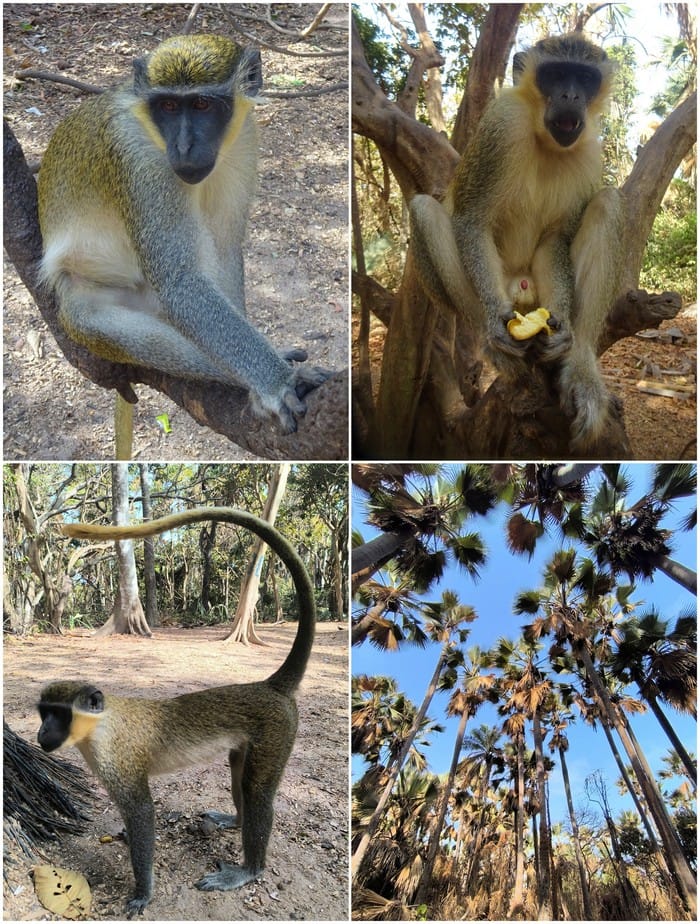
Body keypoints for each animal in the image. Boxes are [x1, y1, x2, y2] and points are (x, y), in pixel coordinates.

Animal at [37, 34, 329, 434]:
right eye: (170, 106)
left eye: (202, 105)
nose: (184, 147)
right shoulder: (139, 160)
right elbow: (181, 281)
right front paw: (276, 382)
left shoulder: (245, 139)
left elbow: (225, 248)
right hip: (91, 297)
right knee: (105, 326)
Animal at [37, 507, 315, 917]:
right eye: (44, 714)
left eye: (58, 715)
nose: (42, 733)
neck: (101, 725)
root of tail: (269, 686)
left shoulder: (117, 760)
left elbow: (141, 812)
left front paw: (143, 892)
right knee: (239, 774)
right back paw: (235, 820)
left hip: (278, 730)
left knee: (257, 789)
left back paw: (250, 870)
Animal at [409, 34, 625, 449]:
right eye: (555, 74)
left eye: (584, 78)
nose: (571, 96)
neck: (545, 141)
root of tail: (521, 286)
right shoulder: (502, 123)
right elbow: (472, 221)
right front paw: (495, 324)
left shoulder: (591, 152)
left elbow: (556, 241)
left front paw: (565, 336)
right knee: (426, 210)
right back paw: (497, 350)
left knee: (607, 204)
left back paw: (579, 366)